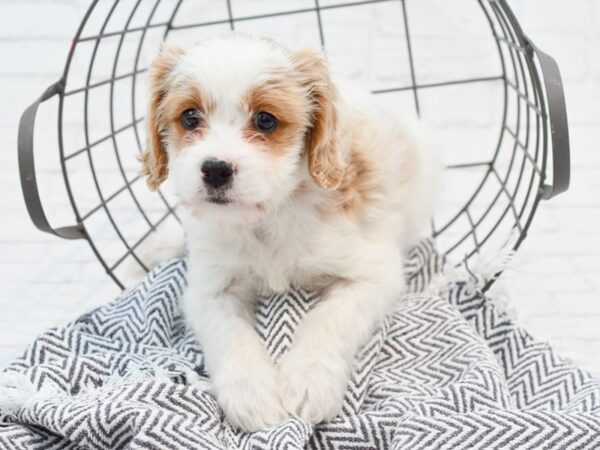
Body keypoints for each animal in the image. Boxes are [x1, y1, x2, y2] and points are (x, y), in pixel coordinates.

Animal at [142, 32, 440, 432]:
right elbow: (230, 334)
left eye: (266, 120)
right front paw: (251, 394)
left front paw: (309, 380)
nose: (216, 169)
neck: (268, 217)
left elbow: (328, 320)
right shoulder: (209, 289)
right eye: (190, 117)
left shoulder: (372, 275)